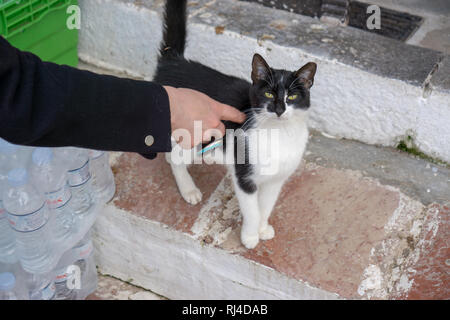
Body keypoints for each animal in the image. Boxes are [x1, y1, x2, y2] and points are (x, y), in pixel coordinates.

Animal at [155, 0, 316, 249]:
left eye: (292, 97)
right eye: (268, 94)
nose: (279, 109)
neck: (278, 133)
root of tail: (172, 60)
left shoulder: (275, 181)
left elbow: (266, 205)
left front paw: (262, 229)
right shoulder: (245, 176)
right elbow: (252, 209)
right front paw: (250, 236)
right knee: (177, 158)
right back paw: (189, 189)